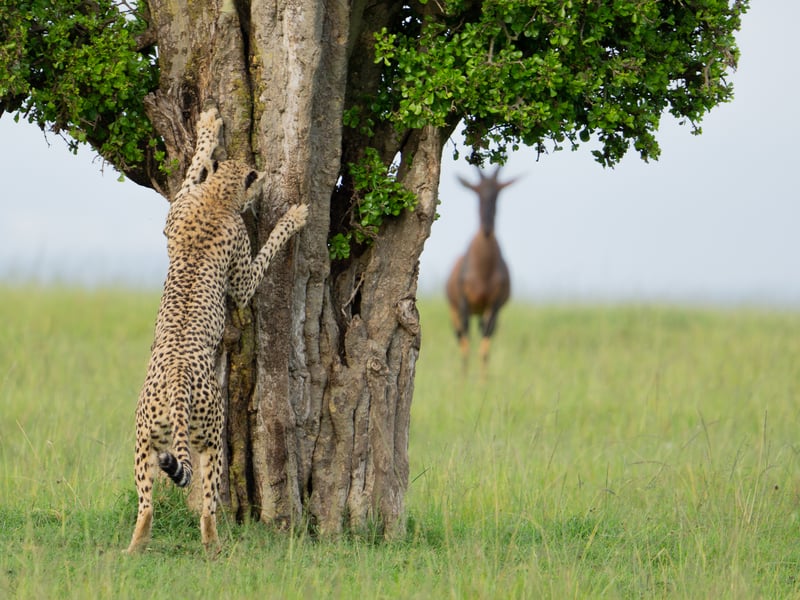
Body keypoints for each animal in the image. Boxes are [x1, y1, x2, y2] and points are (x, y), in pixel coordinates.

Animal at [125, 106, 308, 554]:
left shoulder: (174, 213)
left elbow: (193, 169)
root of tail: (176, 383)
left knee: (146, 505)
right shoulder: (240, 280)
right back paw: (214, 547)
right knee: (208, 504)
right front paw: (292, 218)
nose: (265, 183)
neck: (217, 198)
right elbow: (264, 254)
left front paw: (207, 129)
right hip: (210, 438)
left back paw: (134, 547)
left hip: (144, 442)